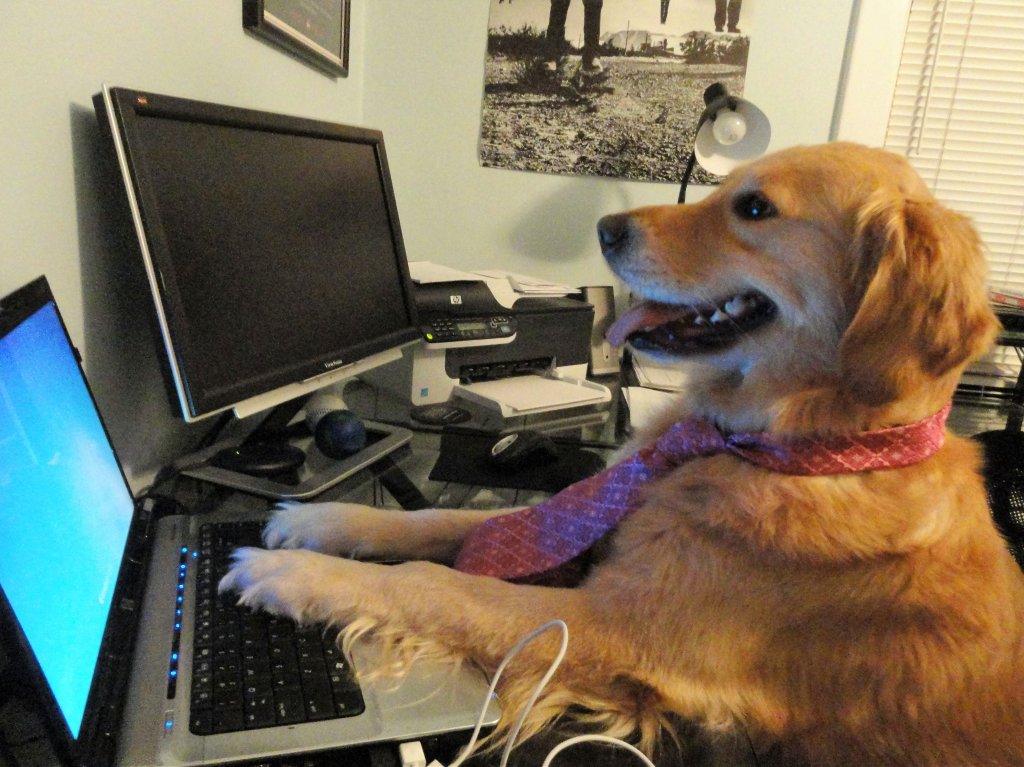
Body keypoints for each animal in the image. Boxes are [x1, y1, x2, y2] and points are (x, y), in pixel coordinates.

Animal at [222, 145, 1024, 765]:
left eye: (754, 208)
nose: (605, 228)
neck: (764, 441)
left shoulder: (613, 629)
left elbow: (433, 584)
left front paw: (292, 573)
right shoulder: (580, 522)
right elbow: (439, 527)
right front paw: (318, 524)